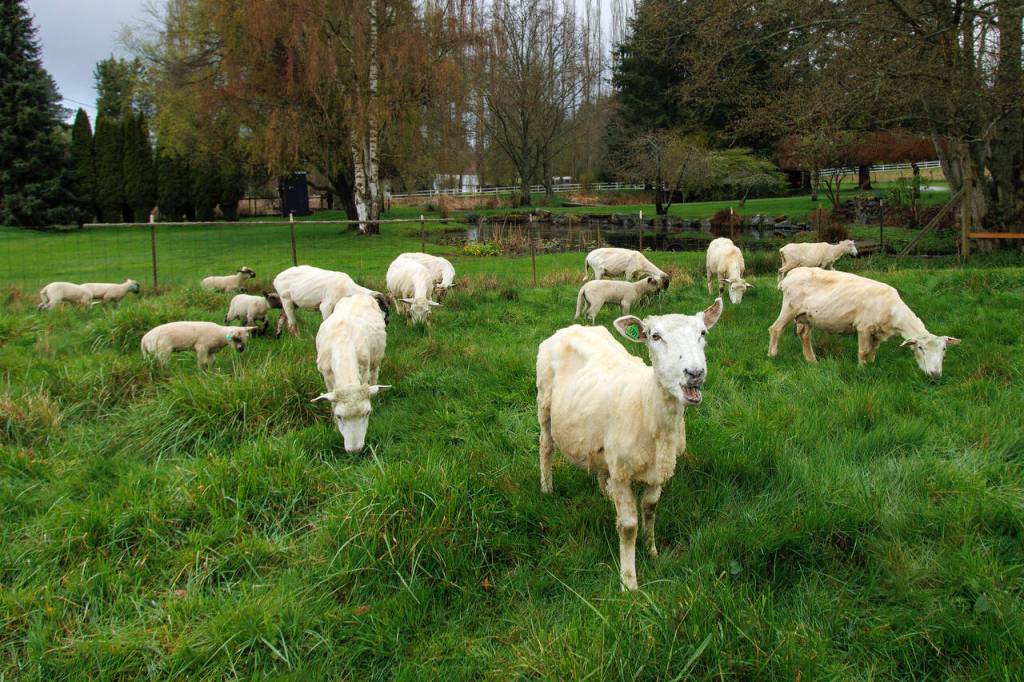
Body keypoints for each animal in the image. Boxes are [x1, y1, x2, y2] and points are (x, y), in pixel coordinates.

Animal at [313, 294, 390, 453]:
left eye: (367, 413)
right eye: (339, 416)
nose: (355, 450)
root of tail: (360, 294)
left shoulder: (364, 369)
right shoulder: (326, 376)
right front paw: (335, 427)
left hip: (375, 360)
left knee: (375, 374)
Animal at [537, 297, 724, 590]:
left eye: (702, 333)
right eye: (655, 336)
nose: (695, 373)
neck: (647, 404)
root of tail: (570, 328)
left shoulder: (658, 471)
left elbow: (650, 509)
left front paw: (652, 551)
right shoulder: (623, 473)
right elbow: (627, 527)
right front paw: (629, 582)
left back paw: (606, 493)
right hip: (543, 401)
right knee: (546, 446)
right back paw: (546, 489)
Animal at [768, 267, 961, 377]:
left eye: (944, 349)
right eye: (920, 348)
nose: (935, 374)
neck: (893, 311)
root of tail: (790, 275)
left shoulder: (878, 332)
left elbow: (873, 351)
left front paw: (871, 365)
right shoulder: (864, 327)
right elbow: (863, 351)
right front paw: (861, 369)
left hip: (806, 315)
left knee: (804, 335)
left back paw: (812, 361)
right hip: (790, 306)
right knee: (775, 329)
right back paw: (772, 355)